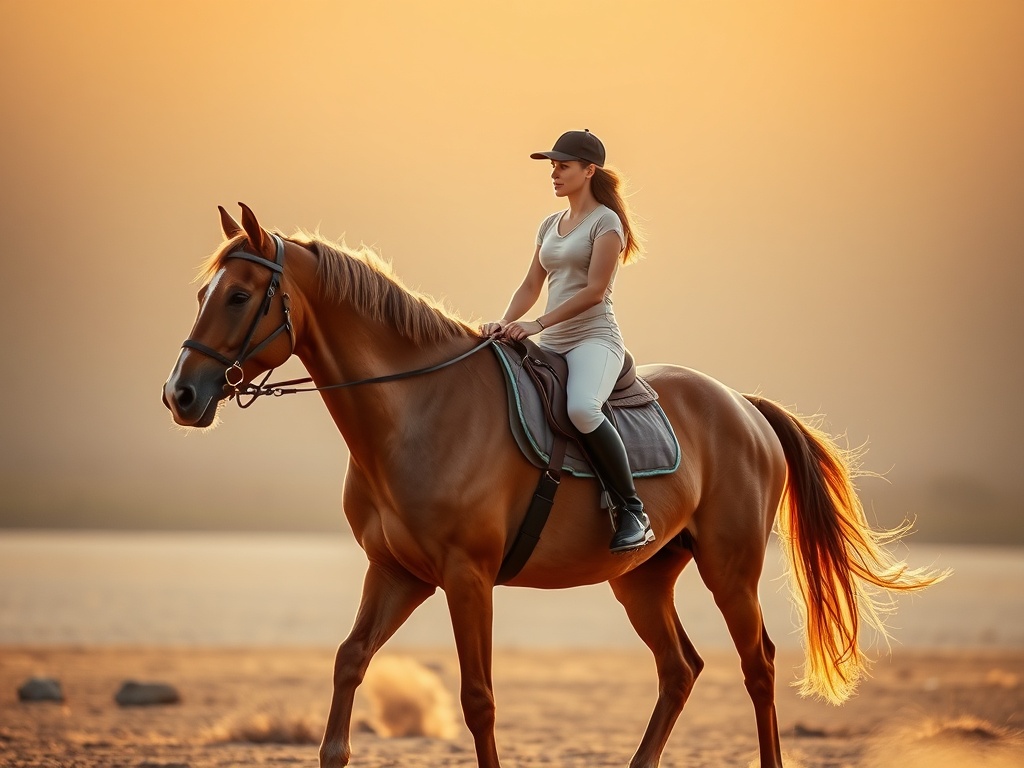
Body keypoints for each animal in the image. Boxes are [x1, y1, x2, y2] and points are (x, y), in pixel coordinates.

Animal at [162, 203, 946, 768]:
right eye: (202, 291)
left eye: (238, 296)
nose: (180, 396)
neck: (417, 409)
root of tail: (743, 406)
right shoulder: (397, 571)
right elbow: (348, 664)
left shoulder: (466, 576)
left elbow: (478, 699)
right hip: (642, 579)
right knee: (679, 670)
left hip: (730, 567)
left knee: (757, 668)